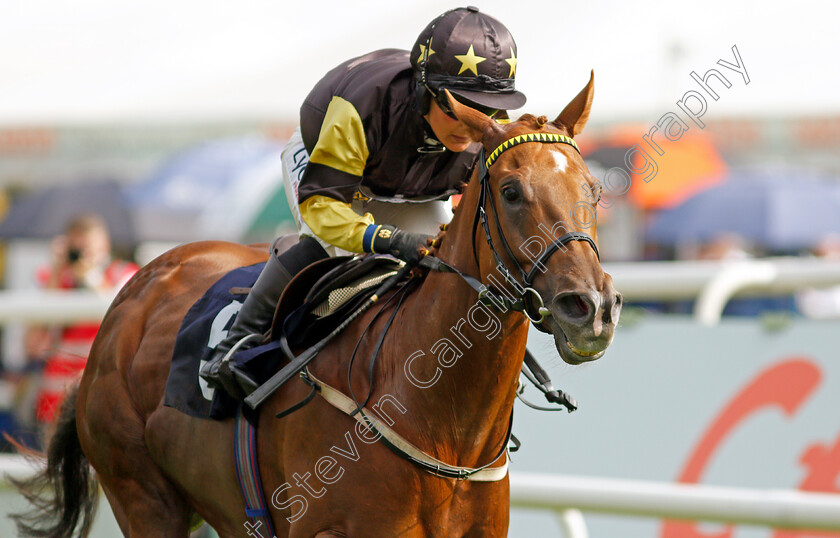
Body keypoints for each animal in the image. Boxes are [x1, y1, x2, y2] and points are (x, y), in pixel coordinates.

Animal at [11, 73, 616, 532]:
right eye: (511, 192)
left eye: (594, 189)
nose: (591, 308)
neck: (442, 426)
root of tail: (134, 293)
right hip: (142, 495)